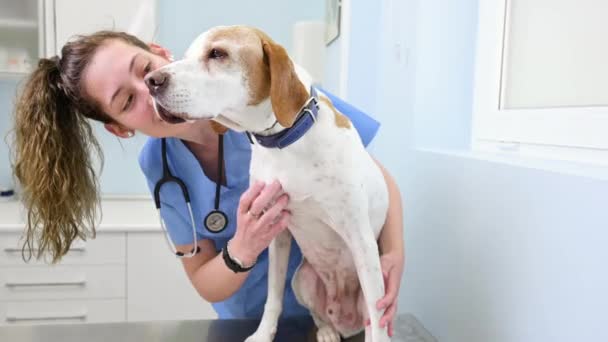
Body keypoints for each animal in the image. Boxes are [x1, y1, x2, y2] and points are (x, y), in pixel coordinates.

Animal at [147, 25, 392, 340]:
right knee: (319, 315)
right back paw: (327, 330)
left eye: (217, 53)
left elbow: (377, 317)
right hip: (302, 279)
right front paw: (263, 334)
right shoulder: (277, 233)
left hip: (372, 273)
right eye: (187, 55)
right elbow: (273, 297)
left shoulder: (360, 238)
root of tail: (345, 321)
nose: (150, 81)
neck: (284, 142)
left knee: (371, 318)